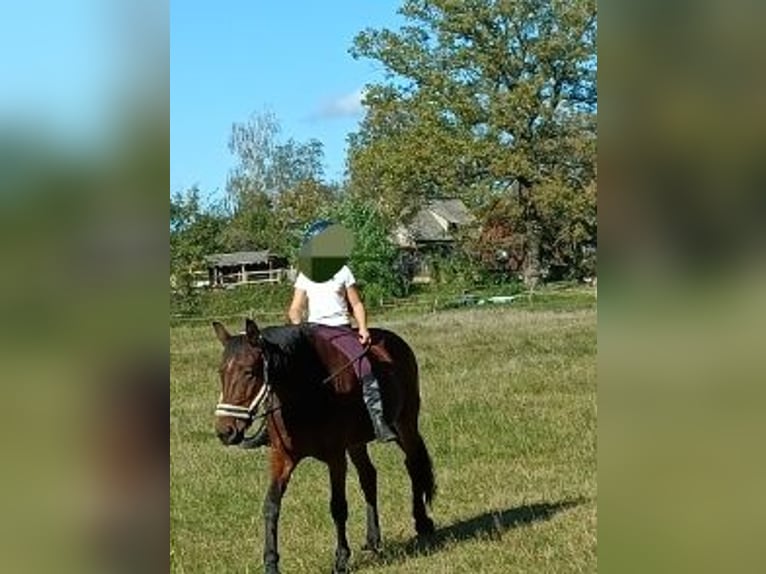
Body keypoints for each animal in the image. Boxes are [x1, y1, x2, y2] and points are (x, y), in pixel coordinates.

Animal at [213, 320, 436, 574]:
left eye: (249, 372)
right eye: (221, 372)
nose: (225, 431)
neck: (306, 393)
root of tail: (397, 341)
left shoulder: (336, 457)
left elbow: (338, 506)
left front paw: (341, 559)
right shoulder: (282, 456)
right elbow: (271, 505)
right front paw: (270, 563)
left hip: (405, 423)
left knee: (413, 464)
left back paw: (422, 522)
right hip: (357, 442)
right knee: (369, 476)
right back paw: (373, 539)